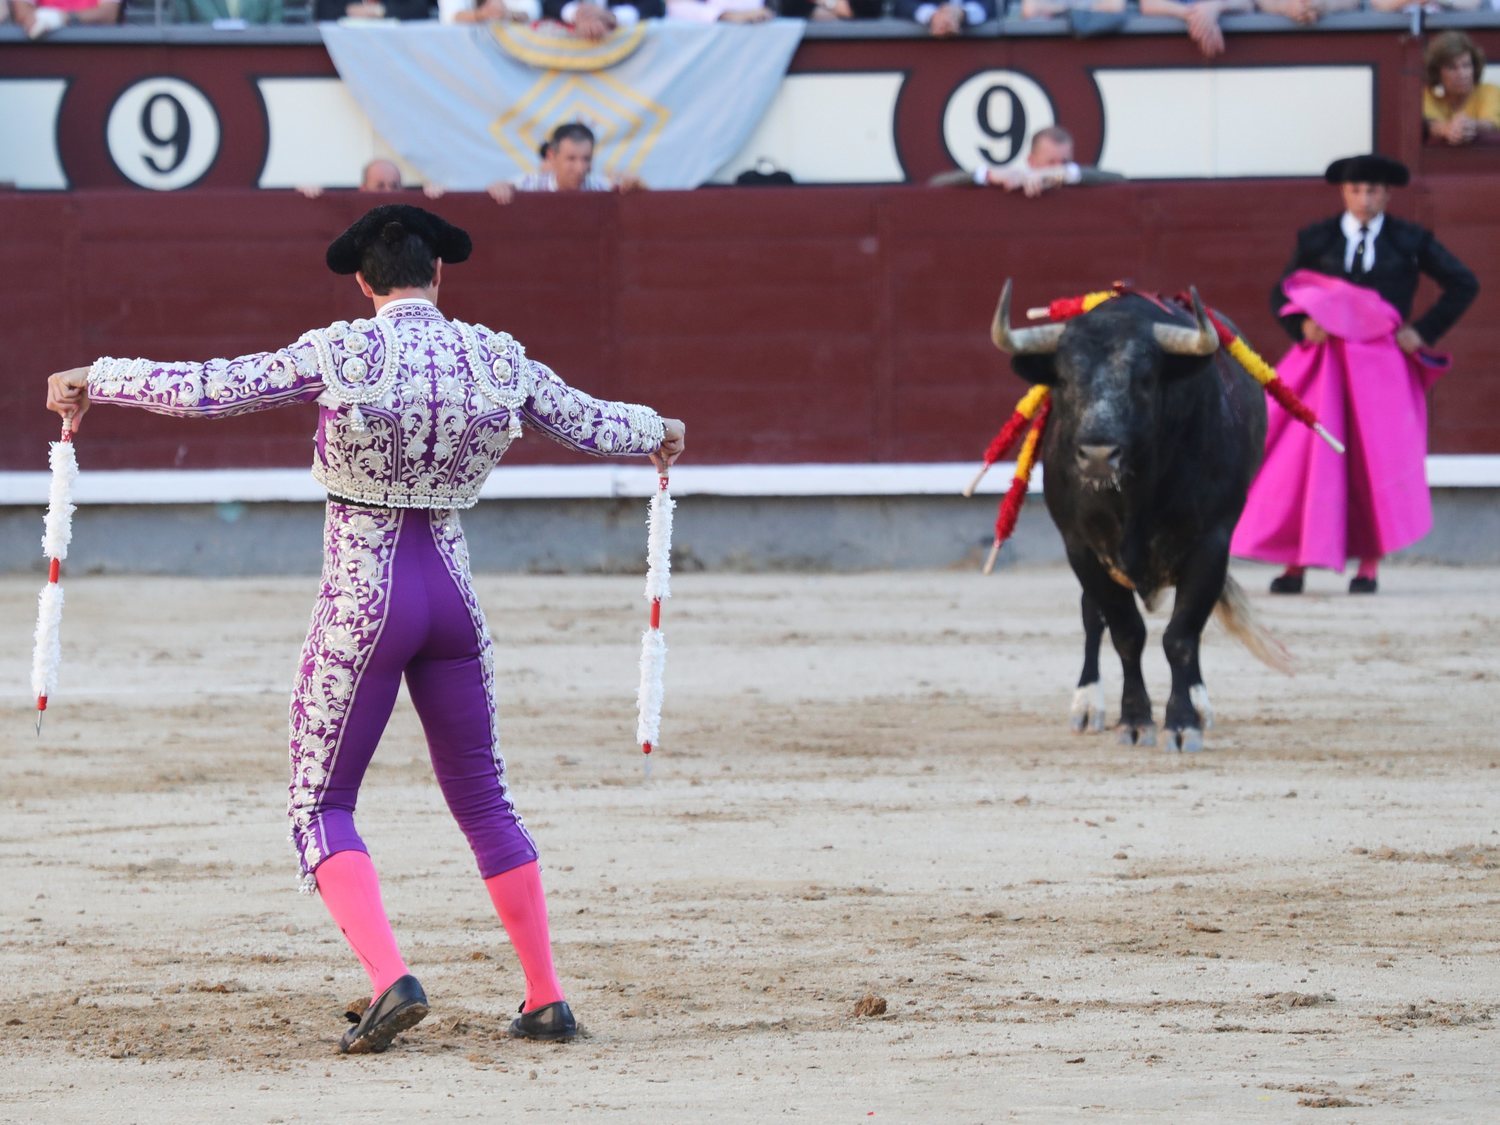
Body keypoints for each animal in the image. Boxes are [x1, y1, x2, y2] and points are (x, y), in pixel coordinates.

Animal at [996, 283, 1290, 759]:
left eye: (1145, 380)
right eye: (1063, 379)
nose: (1098, 454)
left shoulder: (1211, 544)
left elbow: (1181, 636)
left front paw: (1183, 722)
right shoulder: (1082, 547)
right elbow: (1125, 632)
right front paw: (1134, 720)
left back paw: (1201, 705)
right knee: (1092, 618)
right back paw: (1087, 705)